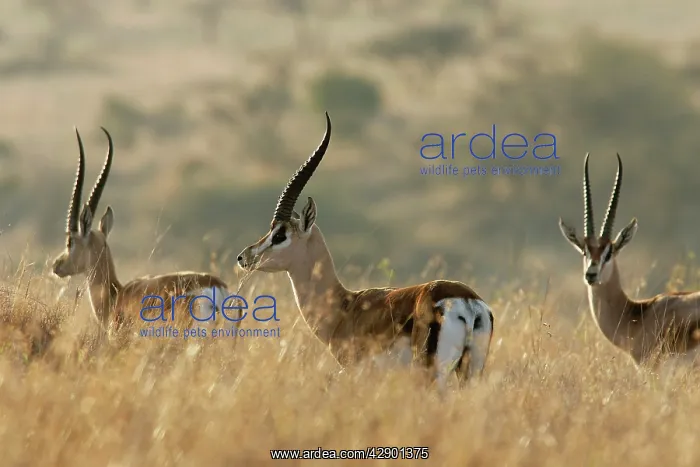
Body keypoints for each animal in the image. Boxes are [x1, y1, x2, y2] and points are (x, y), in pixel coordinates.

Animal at [237, 113, 494, 387]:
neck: (345, 307)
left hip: (432, 372)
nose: (244, 257)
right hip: (471, 371)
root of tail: (467, 302)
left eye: (280, 234)